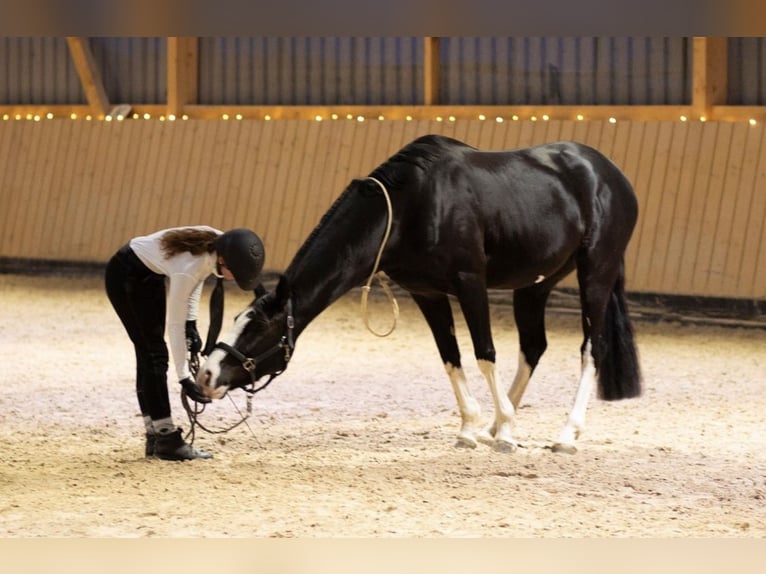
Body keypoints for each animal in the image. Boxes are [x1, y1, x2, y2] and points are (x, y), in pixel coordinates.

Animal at [198, 135, 640, 454]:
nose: (205, 375)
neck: (412, 206)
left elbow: (484, 354)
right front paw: (473, 428)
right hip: (535, 284)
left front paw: (506, 435)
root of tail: (610, 174)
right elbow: (450, 358)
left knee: (592, 348)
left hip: (595, 273)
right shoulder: (426, 293)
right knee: (533, 346)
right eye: (237, 321)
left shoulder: (470, 282)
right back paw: (499, 423)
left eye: (261, 330)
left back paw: (565, 434)